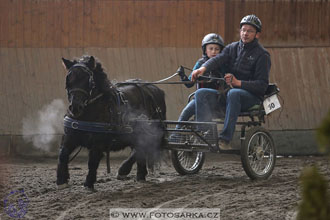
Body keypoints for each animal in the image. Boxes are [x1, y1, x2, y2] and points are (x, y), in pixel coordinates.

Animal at [56, 55, 168, 191]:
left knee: (142, 147)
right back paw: (139, 175)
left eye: (89, 80)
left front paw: (89, 183)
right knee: (140, 148)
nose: (75, 107)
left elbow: (92, 162)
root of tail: (154, 88)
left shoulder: (98, 142)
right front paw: (62, 180)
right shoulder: (70, 137)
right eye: (68, 79)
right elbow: (63, 154)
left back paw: (124, 170)